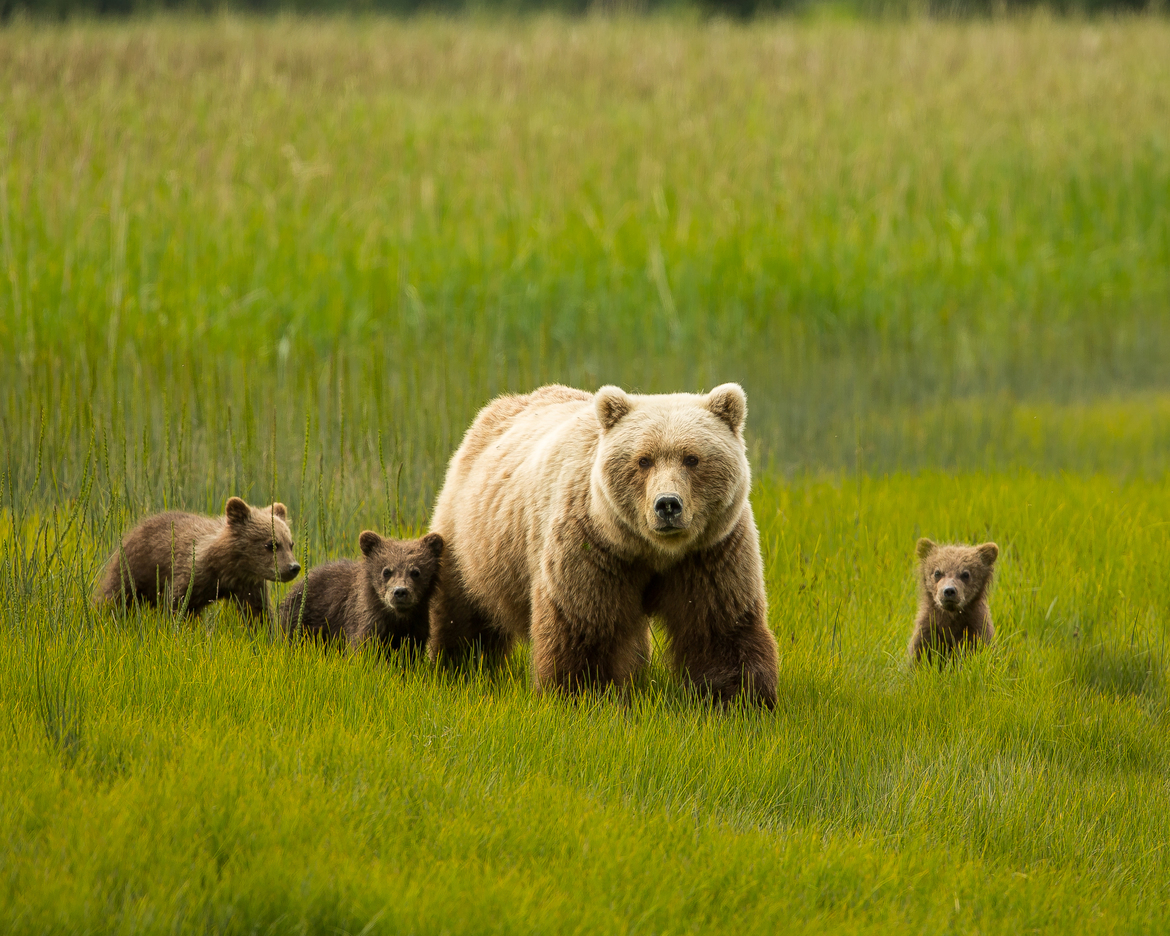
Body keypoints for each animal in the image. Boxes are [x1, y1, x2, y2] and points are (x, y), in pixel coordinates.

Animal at [100, 496, 300, 618]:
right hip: (135, 566)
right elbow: (178, 605)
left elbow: (258, 613)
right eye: (271, 544)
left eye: (290, 544)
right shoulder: (193, 576)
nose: (293, 567)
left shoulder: (248, 586)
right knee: (116, 594)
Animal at [279, 530, 444, 653]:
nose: (400, 592)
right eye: (386, 571)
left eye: (416, 572)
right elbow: (362, 651)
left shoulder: (415, 629)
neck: (396, 618)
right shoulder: (365, 623)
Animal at [427, 383, 779, 707]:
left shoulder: (710, 552)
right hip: (472, 537)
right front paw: (582, 694)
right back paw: (458, 665)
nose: (667, 504)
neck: (654, 551)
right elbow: (586, 624)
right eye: (644, 460)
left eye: (692, 458)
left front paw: (740, 700)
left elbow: (719, 626)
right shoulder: (595, 548)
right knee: (464, 610)